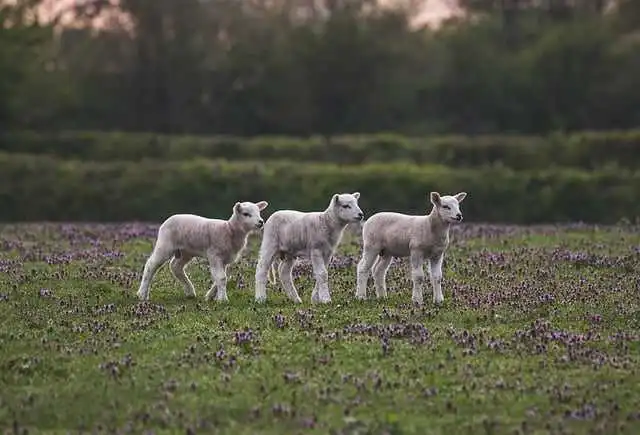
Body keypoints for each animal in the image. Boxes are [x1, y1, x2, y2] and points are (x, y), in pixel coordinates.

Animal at [136, 202, 268, 302]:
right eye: (246, 214)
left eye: (259, 212)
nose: (261, 222)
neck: (229, 230)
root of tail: (167, 220)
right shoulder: (214, 254)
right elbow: (221, 278)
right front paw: (223, 299)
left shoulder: (225, 259)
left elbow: (220, 278)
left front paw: (210, 296)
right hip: (165, 244)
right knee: (151, 265)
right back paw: (142, 294)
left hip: (185, 251)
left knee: (175, 266)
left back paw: (190, 291)